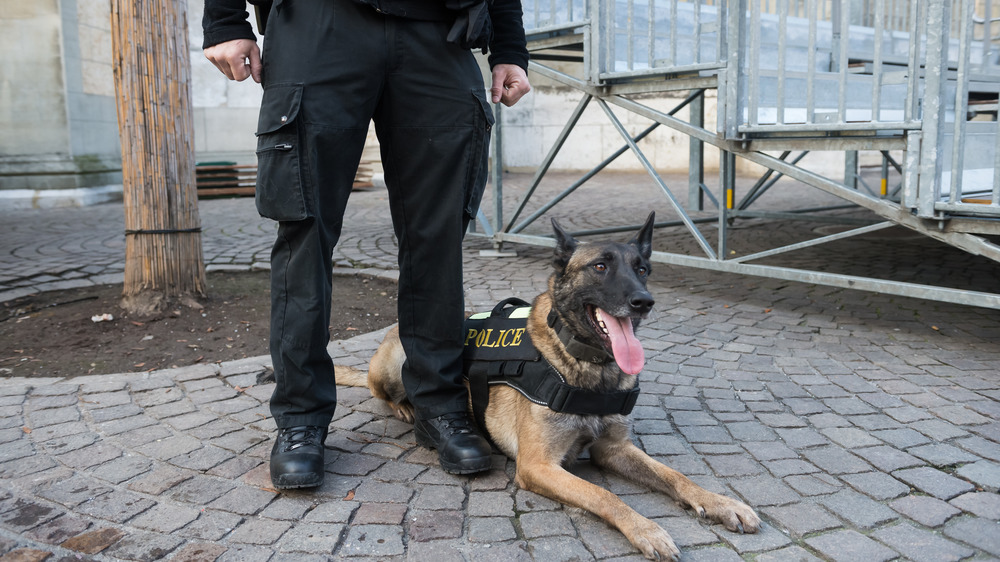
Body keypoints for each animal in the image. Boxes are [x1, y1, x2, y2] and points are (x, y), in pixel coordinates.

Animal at [336, 212, 756, 556]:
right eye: (600, 266)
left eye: (642, 270)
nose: (644, 301)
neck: (589, 367)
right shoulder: (538, 465)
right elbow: (603, 494)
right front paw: (647, 529)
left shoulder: (614, 449)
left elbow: (674, 475)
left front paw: (719, 502)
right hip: (395, 361)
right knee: (383, 391)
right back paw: (407, 408)